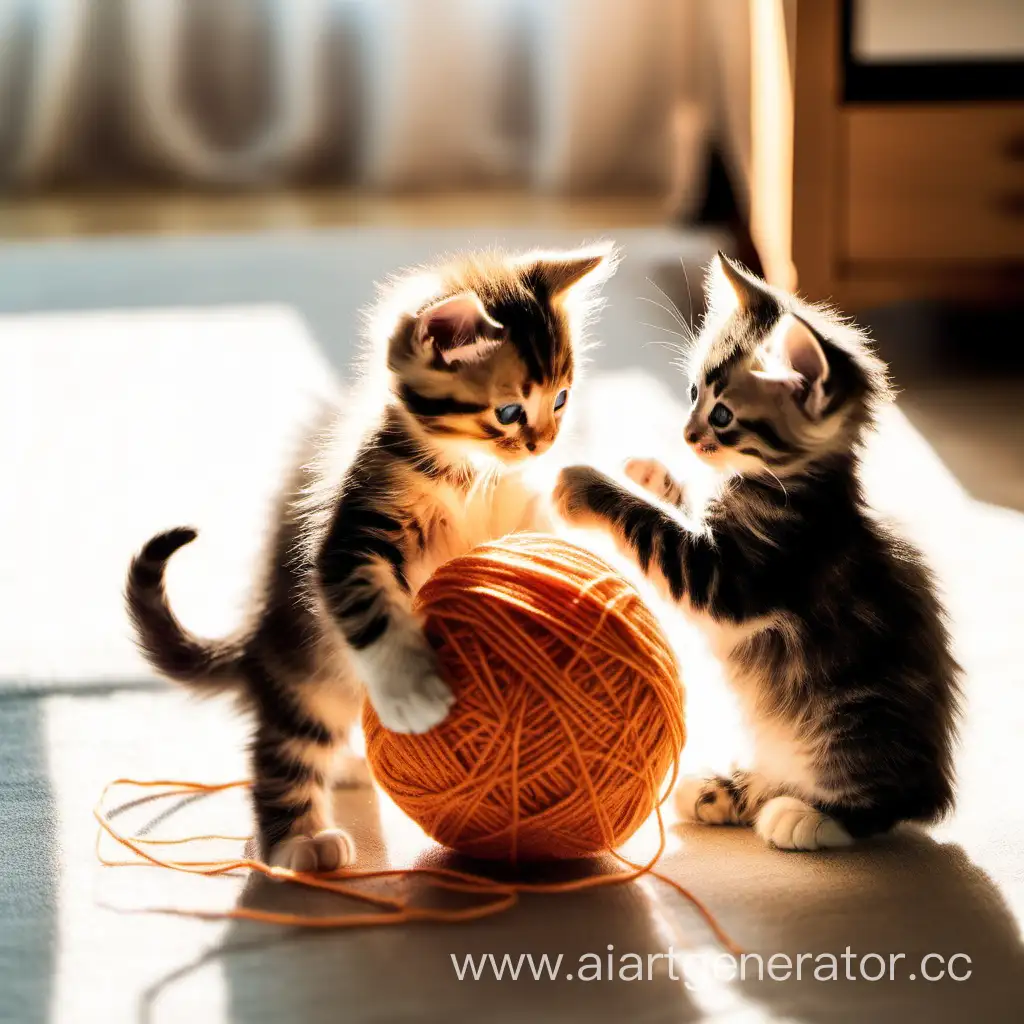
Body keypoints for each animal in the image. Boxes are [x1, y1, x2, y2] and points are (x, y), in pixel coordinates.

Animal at [123, 243, 610, 868]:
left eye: (562, 399)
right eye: (508, 412)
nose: (544, 443)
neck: (467, 473)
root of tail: (258, 643)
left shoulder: (520, 512)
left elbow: (541, 548)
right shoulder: (350, 537)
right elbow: (372, 605)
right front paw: (412, 689)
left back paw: (349, 768)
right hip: (311, 681)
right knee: (282, 753)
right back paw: (299, 842)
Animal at [557, 251, 954, 851]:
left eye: (722, 416)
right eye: (692, 394)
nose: (685, 434)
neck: (782, 483)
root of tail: (934, 784)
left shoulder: (734, 575)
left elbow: (652, 527)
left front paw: (586, 483)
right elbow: (681, 506)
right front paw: (651, 473)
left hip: (852, 724)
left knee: (878, 804)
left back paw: (807, 817)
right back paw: (722, 790)